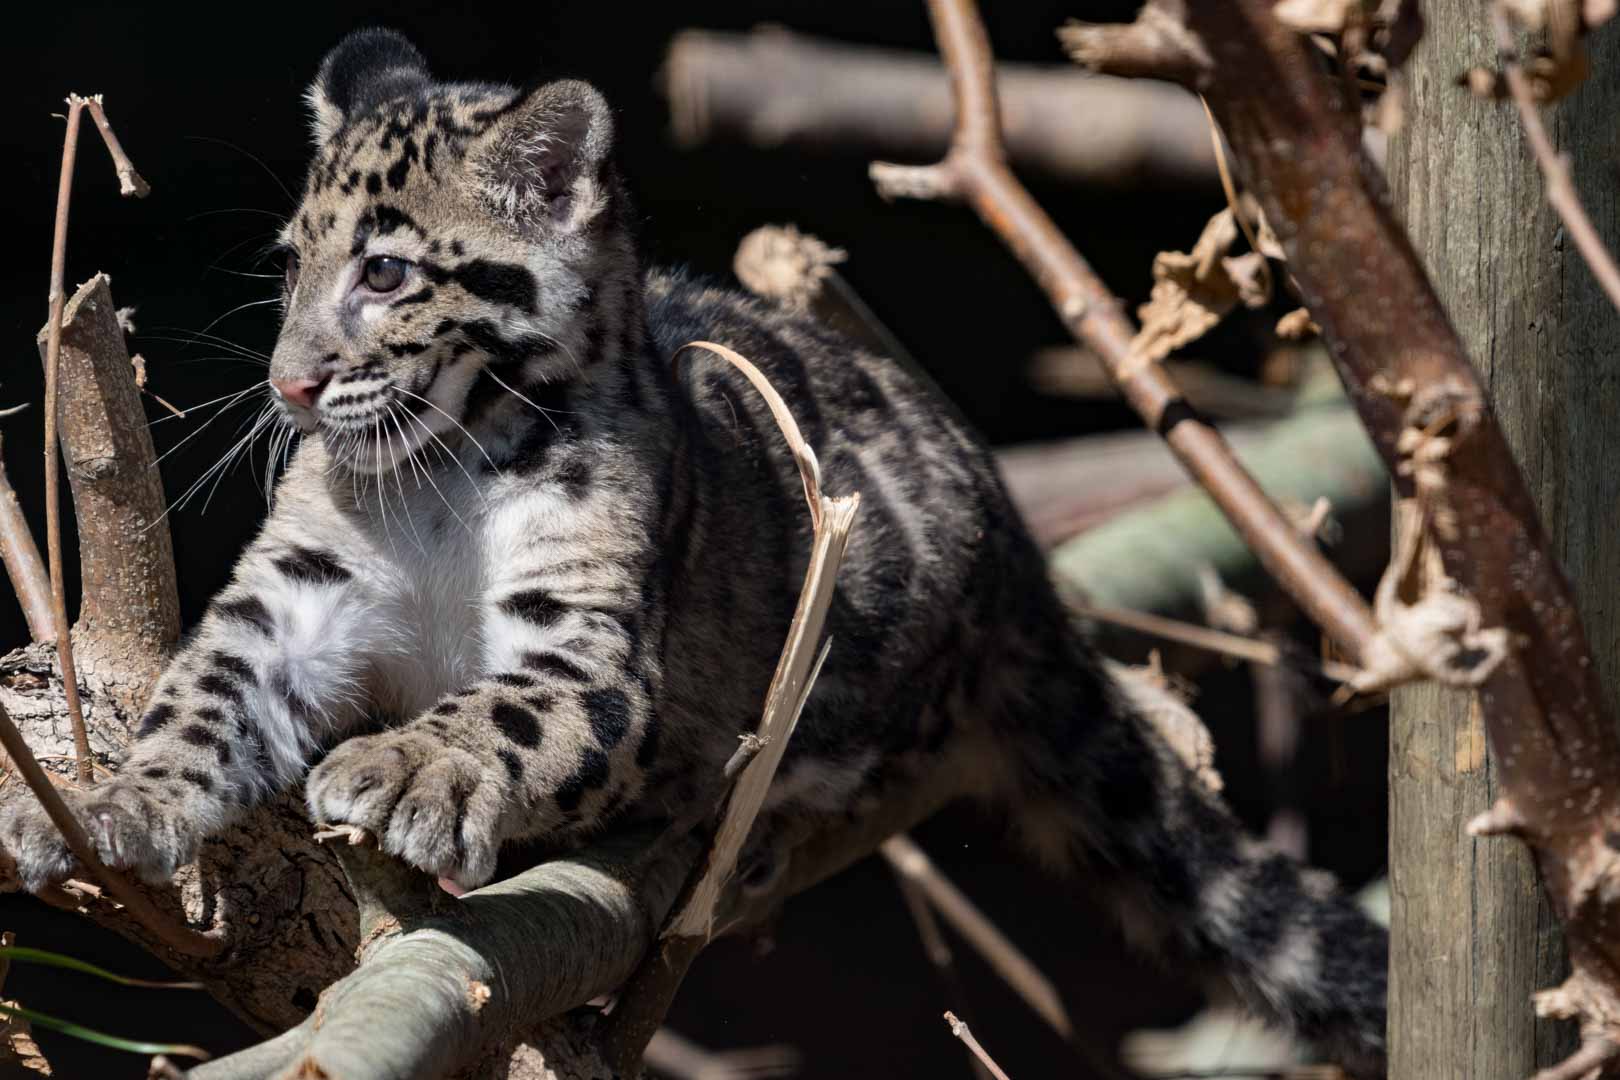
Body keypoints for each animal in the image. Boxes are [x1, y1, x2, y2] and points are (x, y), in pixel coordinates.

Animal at [2, 28, 1386, 1074]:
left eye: (386, 273)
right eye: (293, 265)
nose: (287, 385)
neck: (443, 472)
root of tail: (1016, 551)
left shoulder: (598, 652)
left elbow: (497, 709)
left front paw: (404, 768)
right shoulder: (294, 597)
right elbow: (201, 701)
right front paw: (114, 805)